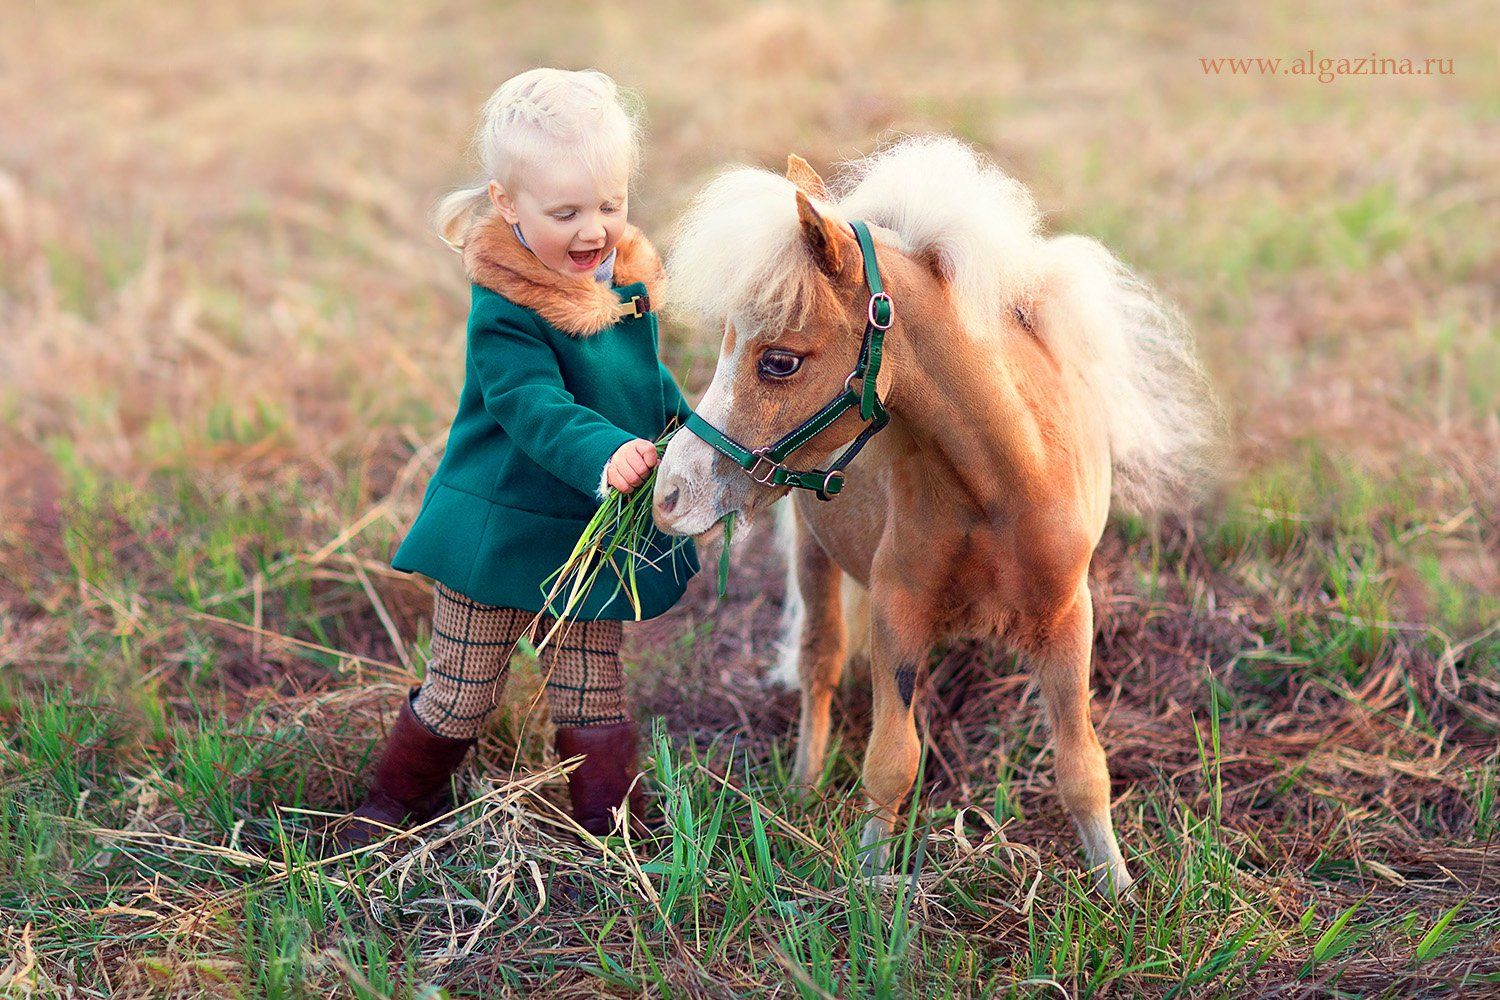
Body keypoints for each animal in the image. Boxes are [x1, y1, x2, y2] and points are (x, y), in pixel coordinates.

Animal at [654, 137, 1218, 893]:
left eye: (779, 361)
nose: (669, 494)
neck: (1003, 486)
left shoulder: (1070, 617)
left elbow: (1082, 767)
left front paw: (1120, 890)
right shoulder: (899, 611)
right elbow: (891, 763)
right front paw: (869, 886)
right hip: (812, 551)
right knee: (819, 663)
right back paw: (801, 789)